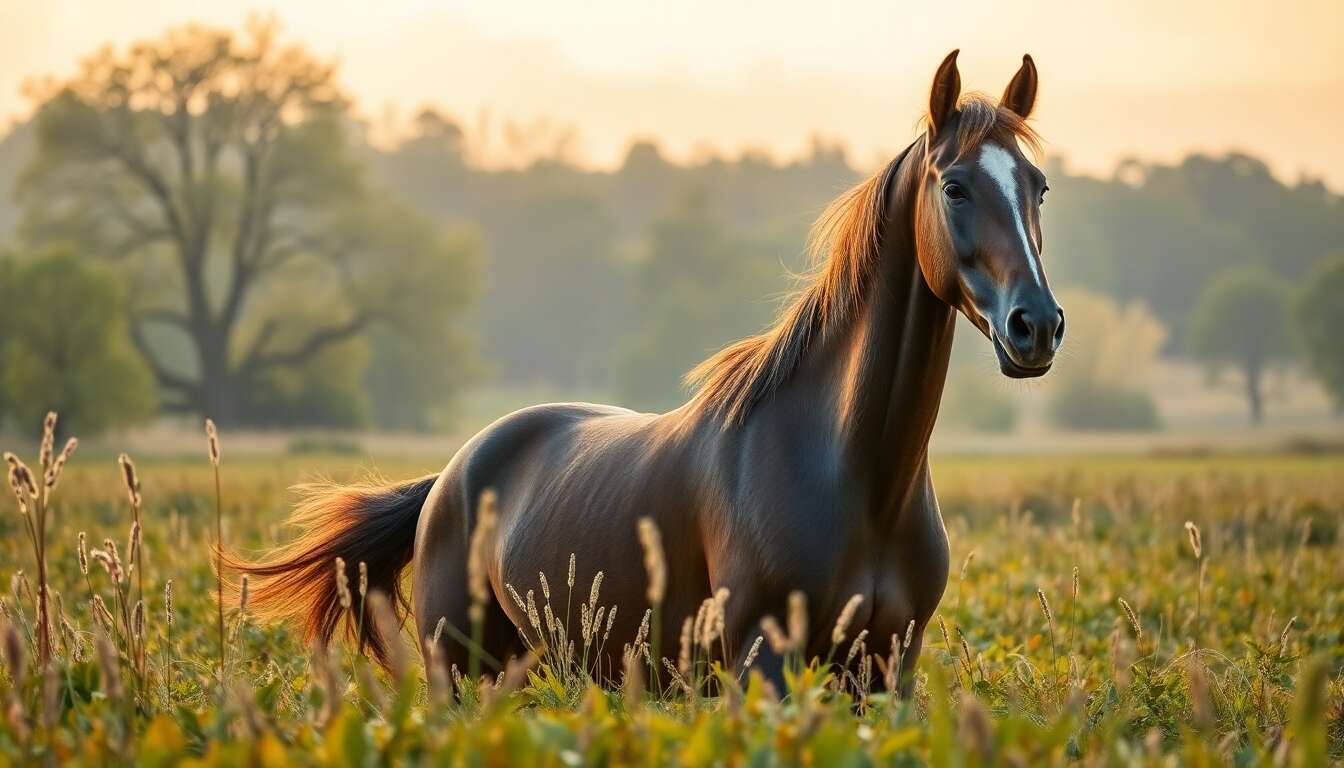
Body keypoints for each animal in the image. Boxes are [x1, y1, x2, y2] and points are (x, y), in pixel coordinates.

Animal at [229, 50, 1064, 695]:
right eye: (955, 185)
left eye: (1040, 186)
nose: (1037, 325)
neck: (853, 473)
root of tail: (452, 475)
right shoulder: (764, 663)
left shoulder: (888, 667)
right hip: (460, 671)